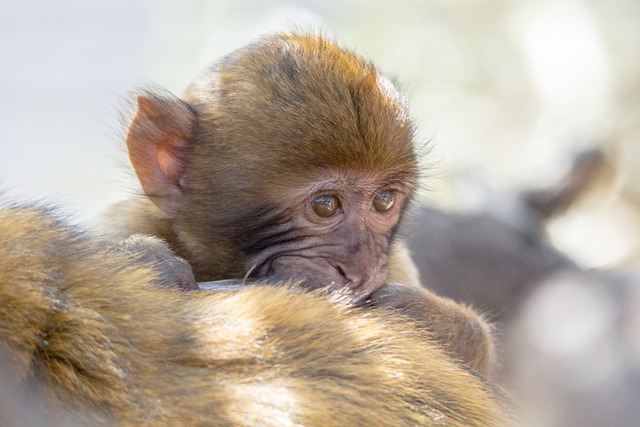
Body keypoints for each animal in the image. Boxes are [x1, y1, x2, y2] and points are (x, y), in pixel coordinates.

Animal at [104, 32, 496, 374]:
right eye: (325, 205)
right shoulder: (128, 221)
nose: (363, 270)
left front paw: (430, 321)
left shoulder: (397, 262)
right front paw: (142, 265)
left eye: (383, 200)